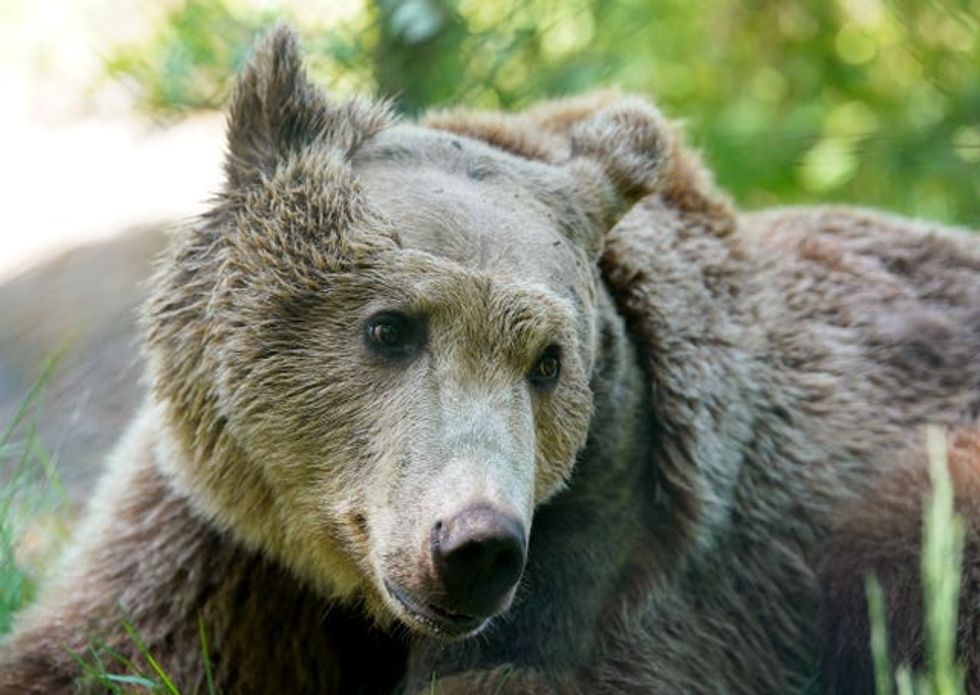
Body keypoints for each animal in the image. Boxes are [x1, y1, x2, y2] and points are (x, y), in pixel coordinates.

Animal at [2, 25, 980, 694]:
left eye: (546, 361)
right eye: (390, 326)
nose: (473, 546)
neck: (352, 586)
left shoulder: (611, 552)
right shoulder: (223, 534)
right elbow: (97, 646)